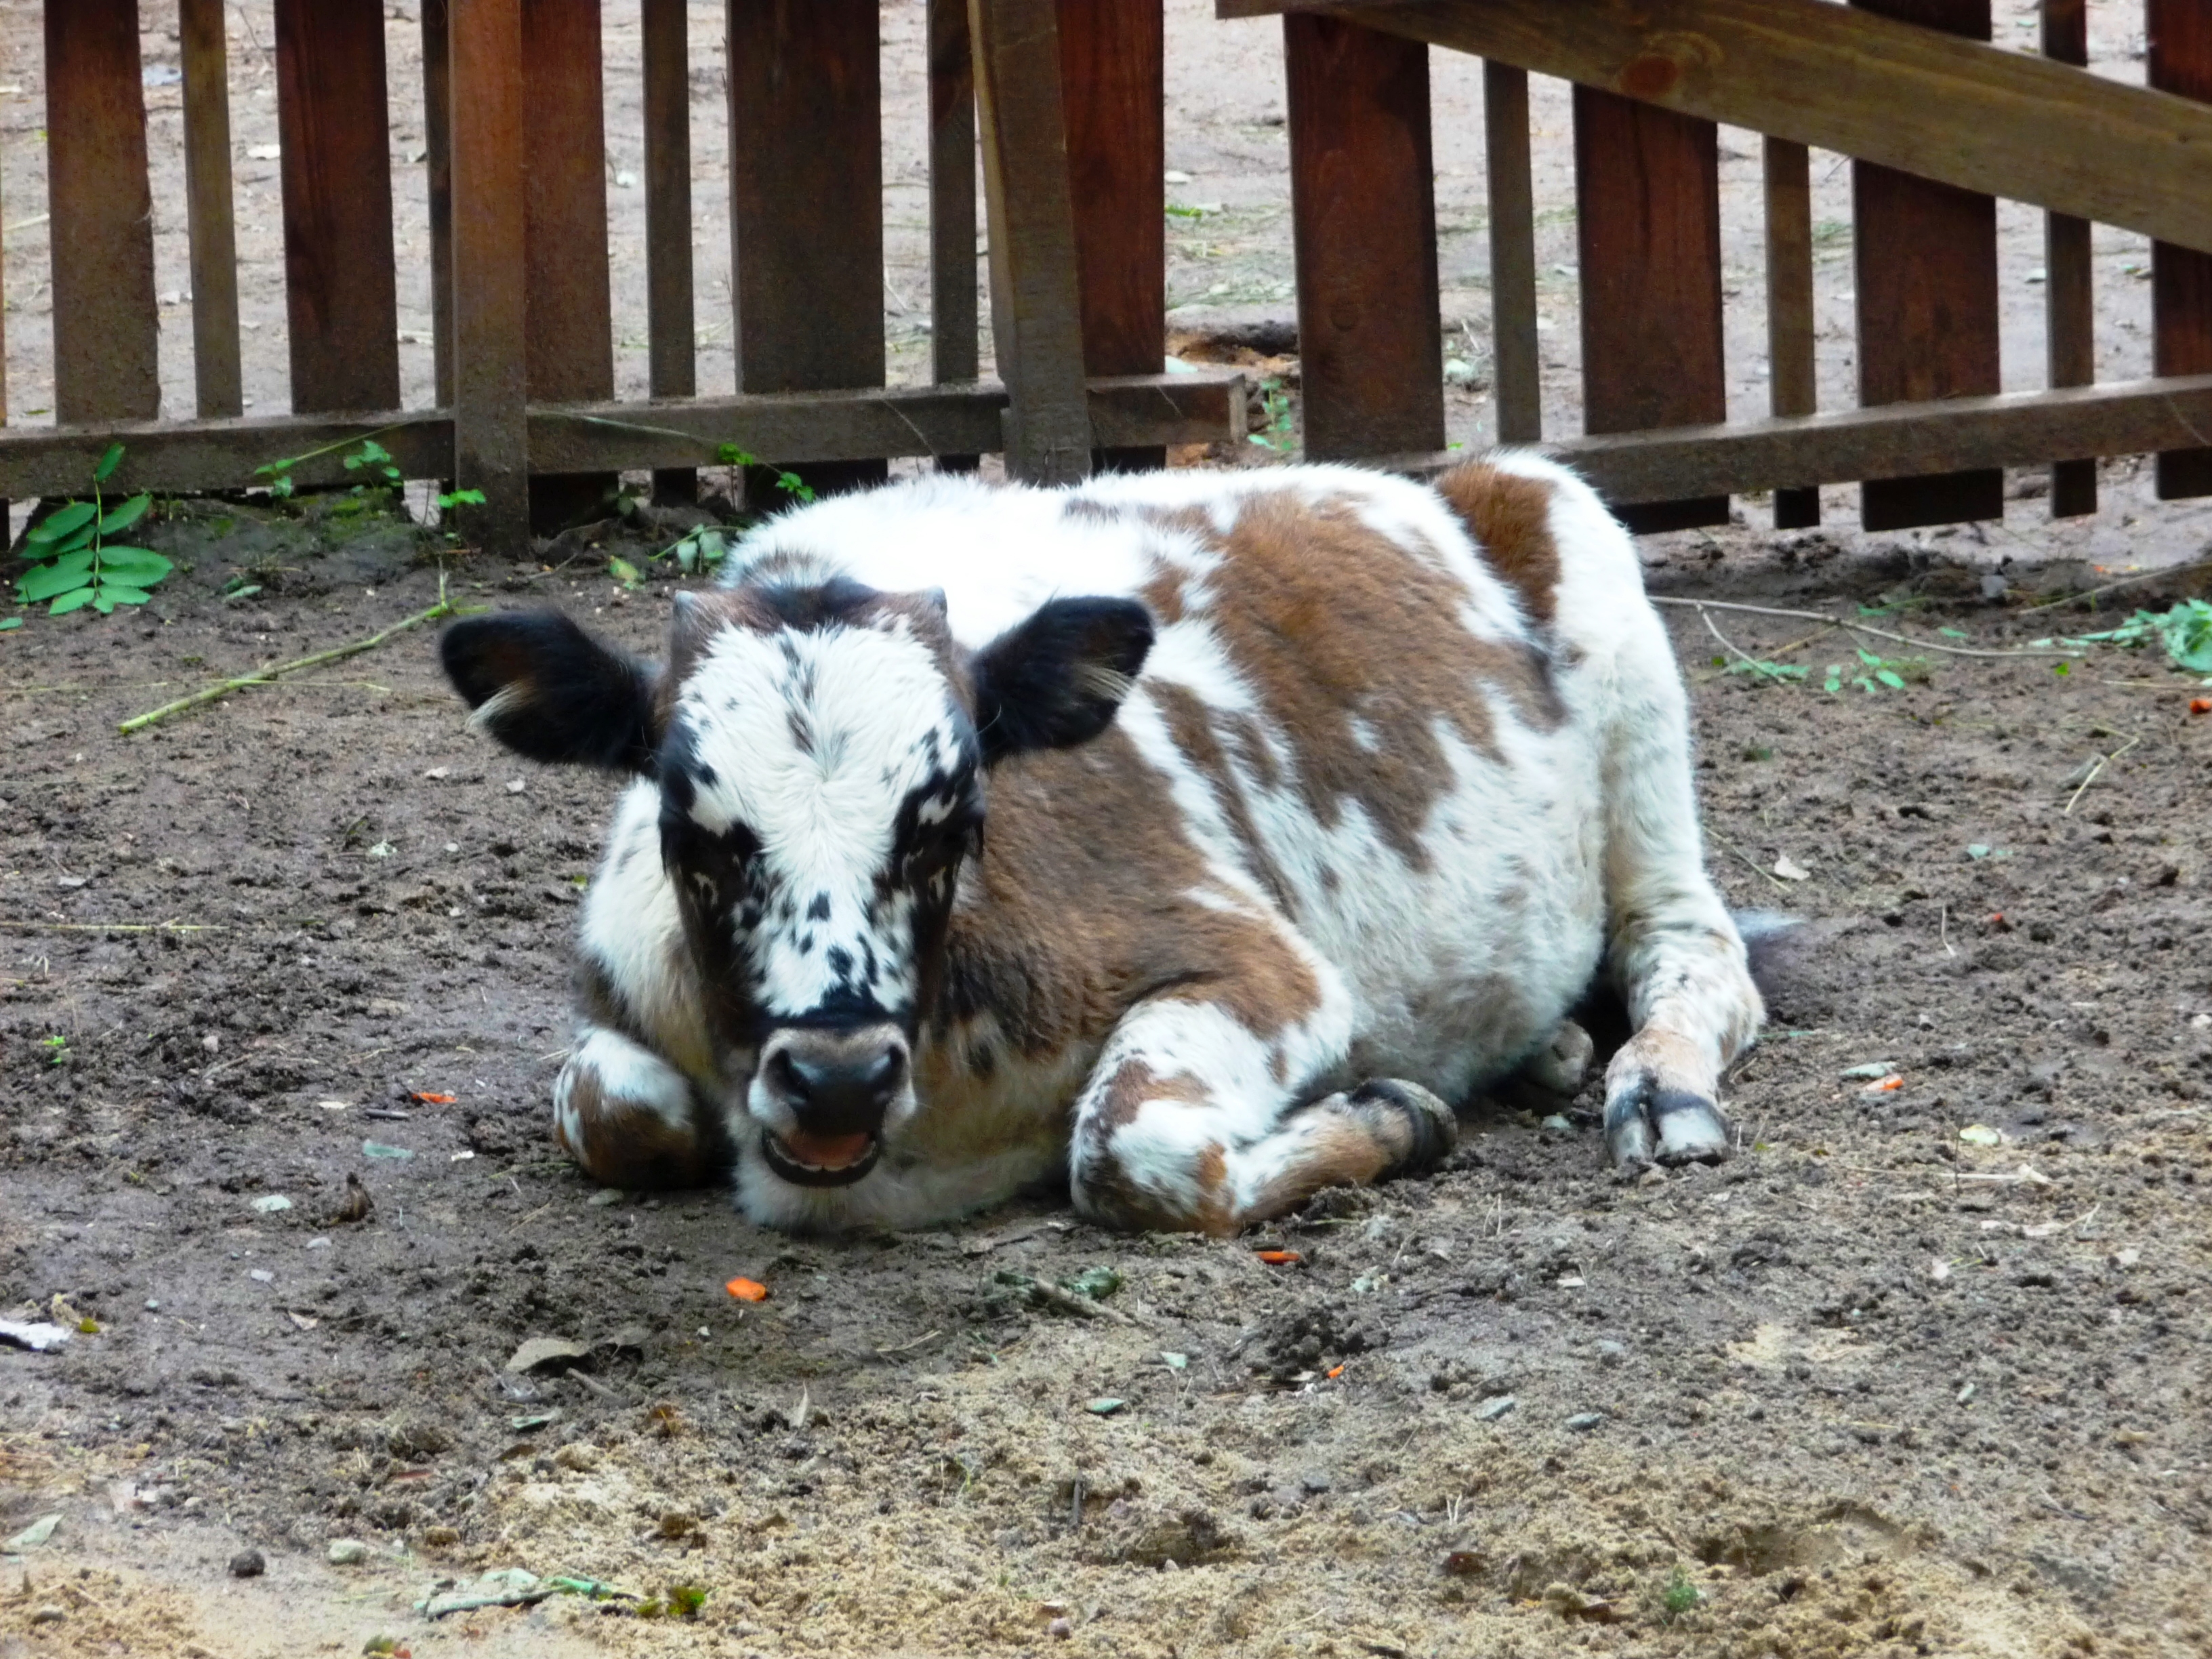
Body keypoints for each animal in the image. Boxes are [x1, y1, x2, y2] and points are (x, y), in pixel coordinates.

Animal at [445, 455, 1761, 1238]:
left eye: (954, 818)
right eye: (691, 826)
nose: (836, 1079)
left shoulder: (1262, 966)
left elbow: (1128, 1148)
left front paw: (1392, 1113)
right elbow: (609, 1106)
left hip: (1603, 609)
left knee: (1694, 951)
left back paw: (1658, 1087)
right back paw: (1545, 1045)